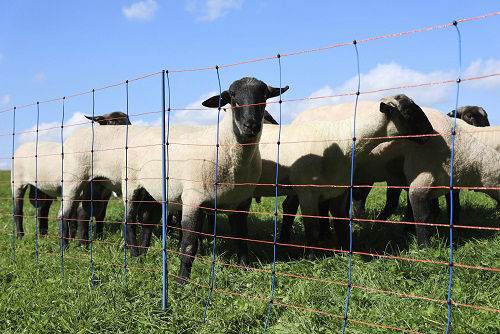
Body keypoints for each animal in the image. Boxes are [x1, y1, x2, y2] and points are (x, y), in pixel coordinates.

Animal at [12, 112, 131, 240]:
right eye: (112, 121)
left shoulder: (104, 195)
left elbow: (100, 216)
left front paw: (98, 237)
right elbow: (79, 216)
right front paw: (75, 237)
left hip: (46, 189)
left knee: (43, 211)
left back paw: (44, 235)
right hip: (17, 183)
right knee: (18, 211)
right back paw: (20, 236)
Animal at [56, 76, 288, 282]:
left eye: (264, 95)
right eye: (232, 96)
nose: (251, 125)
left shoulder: (241, 203)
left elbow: (241, 238)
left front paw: (245, 269)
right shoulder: (193, 199)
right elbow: (189, 244)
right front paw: (181, 281)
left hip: (143, 189)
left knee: (142, 220)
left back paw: (140, 254)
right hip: (104, 181)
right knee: (105, 219)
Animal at [254, 94, 434, 258]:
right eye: (408, 111)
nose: (431, 132)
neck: (342, 141)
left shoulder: (339, 191)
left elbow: (341, 222)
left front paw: (343, 252)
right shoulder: (307, 192)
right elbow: (312, 227)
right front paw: (311, 257)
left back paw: (283, 242)